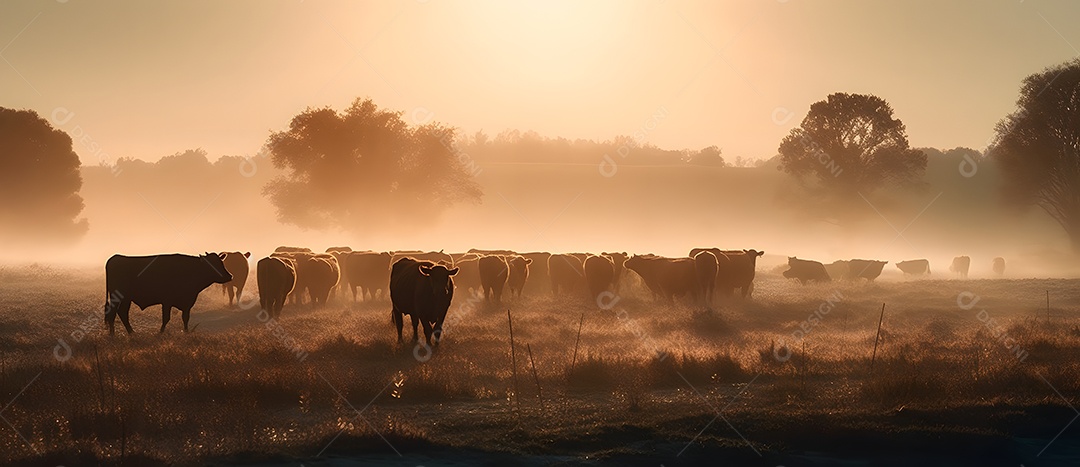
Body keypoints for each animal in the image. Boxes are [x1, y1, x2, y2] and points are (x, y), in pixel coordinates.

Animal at [102, 251, 232, 335]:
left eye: (221, 263)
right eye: (213, 265)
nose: (230, 276)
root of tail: (115, 257)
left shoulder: (187, 302)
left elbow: (185, 318)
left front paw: (186, 332)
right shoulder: (167, 301)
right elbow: (166, 318)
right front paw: (161, 332)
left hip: (126, 299)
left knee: (122, 313)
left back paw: (132, 333)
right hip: (117, 297)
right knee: (112, 313)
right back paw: (113, 335)